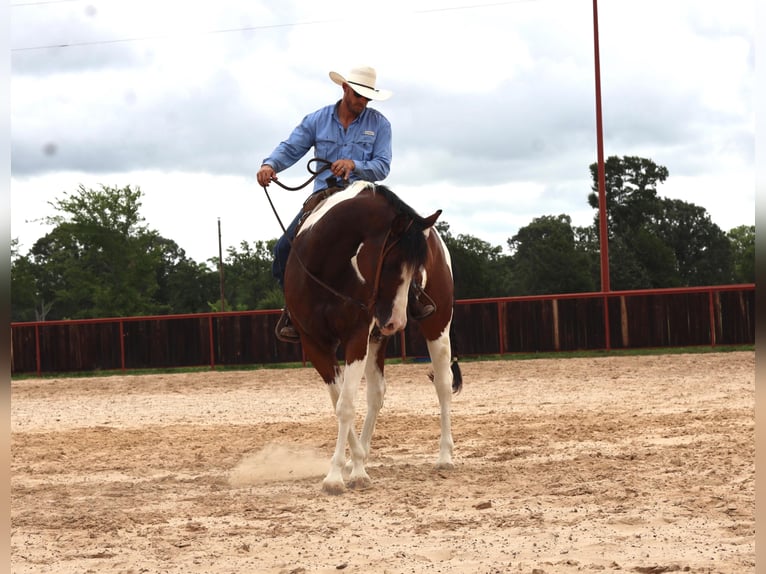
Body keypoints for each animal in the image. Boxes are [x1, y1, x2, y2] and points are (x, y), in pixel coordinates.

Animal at [282, 181, 462, 496]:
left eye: (418, 269)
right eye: (391, 262)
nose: (397, 322)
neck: (327, 266)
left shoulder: (356, 336)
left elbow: (345, 405)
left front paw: (337, 476)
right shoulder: (314, 343)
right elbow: (340, 400)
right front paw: (354, 464)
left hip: (437, 325)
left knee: (442, 385)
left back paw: (444, 457)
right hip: (377, 339)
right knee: (377, 394)